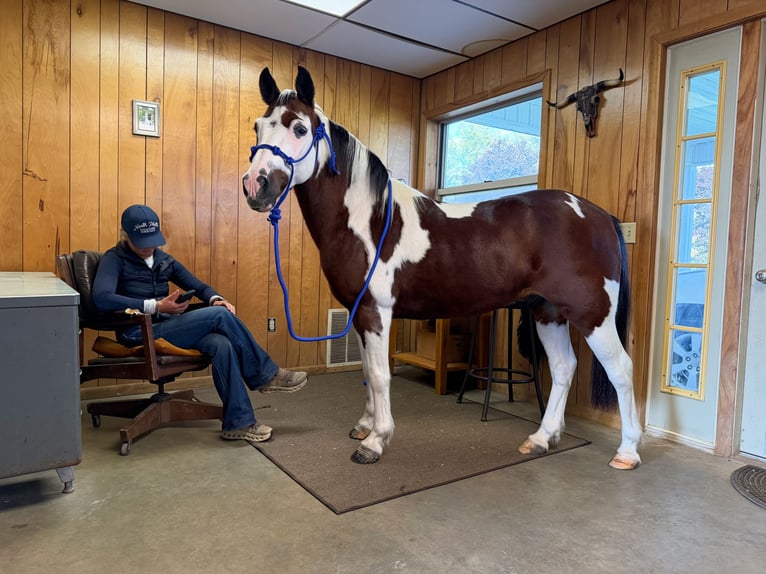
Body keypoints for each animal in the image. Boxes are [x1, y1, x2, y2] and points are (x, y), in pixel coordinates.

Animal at [242, 66, 643, 470]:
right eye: (258, 126)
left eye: (299, 128)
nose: (255, 186)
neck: (369, 220)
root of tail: (597, 214)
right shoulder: (359, 315)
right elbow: (368, 373)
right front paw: (364, 426)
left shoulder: (375, 313)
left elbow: (379, 375)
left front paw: (375, 441)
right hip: (548, 312)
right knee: (563, 367)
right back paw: (541, 439)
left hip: (592, 314)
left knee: (621, 369)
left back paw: (627, 452)